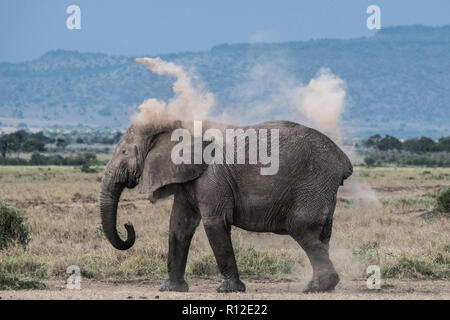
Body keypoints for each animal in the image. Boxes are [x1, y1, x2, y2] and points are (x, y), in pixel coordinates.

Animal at [100, 119, 354, 292]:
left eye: (124, 152)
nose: (128, 225)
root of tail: (344, 160)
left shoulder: (211, 178)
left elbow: (214, 223)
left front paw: (228, 290)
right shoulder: (188, 179)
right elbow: (180, 225)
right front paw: (171, 289)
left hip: (313, 182)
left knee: (302, 228)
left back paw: (316, 288)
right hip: (321, 188)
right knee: (322, 234)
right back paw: (321, 286)